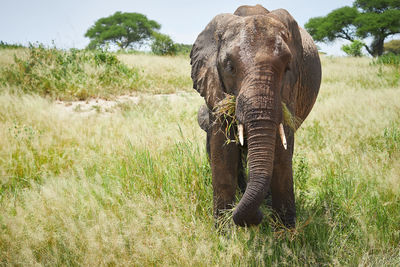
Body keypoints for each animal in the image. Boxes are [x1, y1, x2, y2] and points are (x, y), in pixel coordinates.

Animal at [191, 4, 322, 228]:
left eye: (288, 67)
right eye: (229, 67)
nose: (260, 216)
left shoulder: (290, 89)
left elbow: (282, 152)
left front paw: (286, 232)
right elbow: (222, 150)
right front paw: (223, 231)